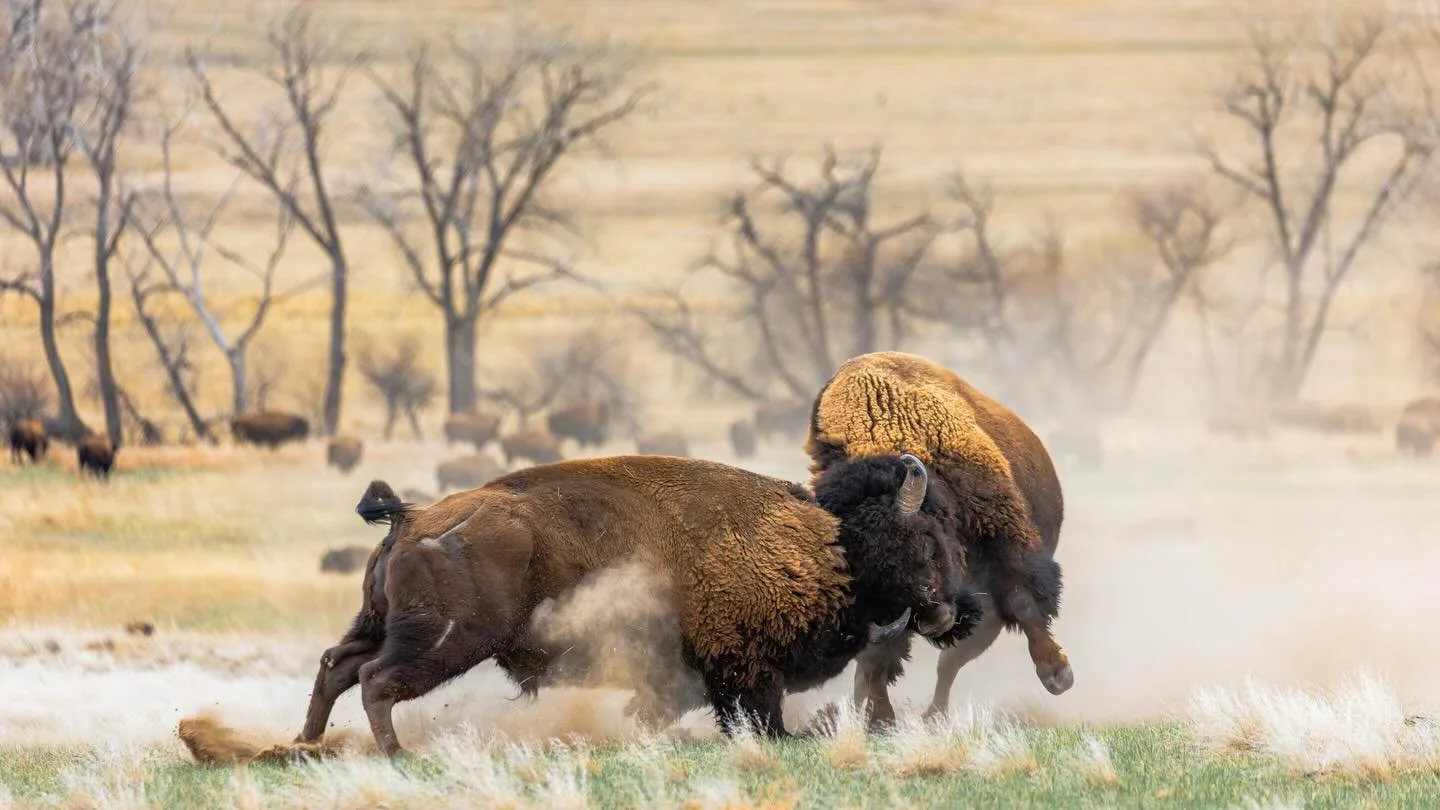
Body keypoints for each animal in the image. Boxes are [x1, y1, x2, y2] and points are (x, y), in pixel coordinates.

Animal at [293, 453, 965, 756]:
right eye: (926, 538)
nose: (947, 611)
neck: (832, 541)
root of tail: (411, 519)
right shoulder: (746, 672)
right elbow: (758, 714)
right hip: (446, 641)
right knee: (377, 680)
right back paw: (395, 753)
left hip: (378, 623)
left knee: (337, 666)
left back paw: (304, 743)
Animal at [806, 351, 1070, 729]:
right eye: (870, 579)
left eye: (927, 544)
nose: (935, 620)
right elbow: (879, 657)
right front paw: (882, 719)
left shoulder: (1004, 545)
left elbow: (1023, 601)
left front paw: (1057, 674)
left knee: (952, 661)